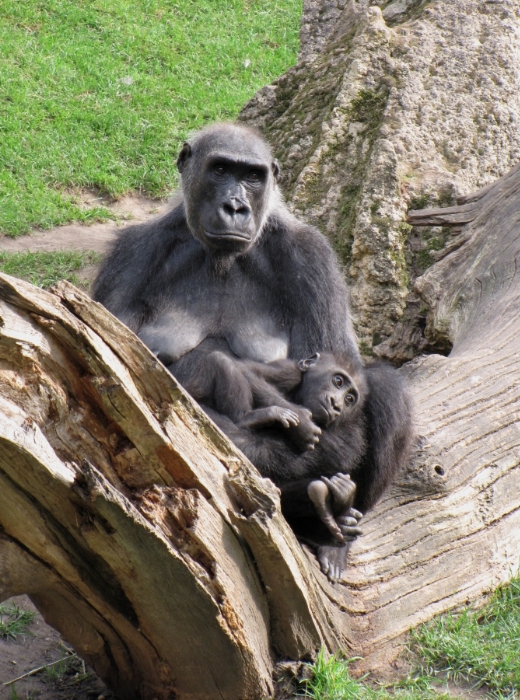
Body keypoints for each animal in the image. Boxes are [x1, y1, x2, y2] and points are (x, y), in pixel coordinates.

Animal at [92, 123, 410, 584]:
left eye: (253, 177)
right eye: (221, 169)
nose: (235, 206)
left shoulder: (310, 255)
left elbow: (345, 422)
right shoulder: (133, 254)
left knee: (388, 391)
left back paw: (332, 533)